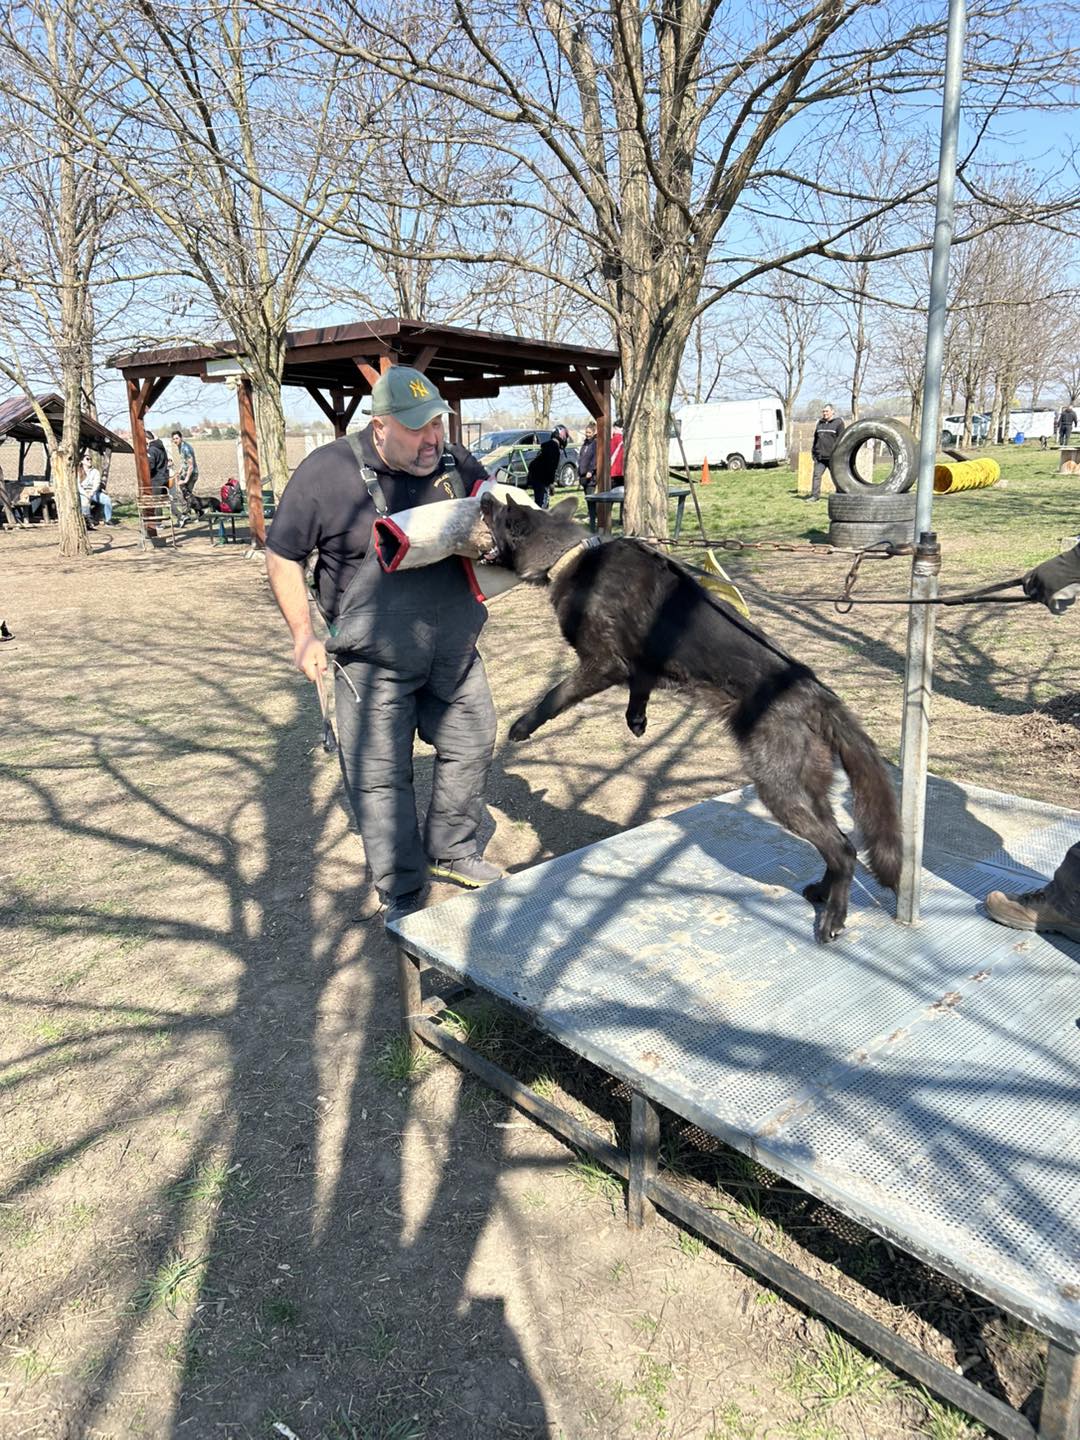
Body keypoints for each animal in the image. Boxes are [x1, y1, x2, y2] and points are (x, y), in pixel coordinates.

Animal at [480, 493, 901, 942]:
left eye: (499, 512)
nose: (483, 496)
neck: (571, 554)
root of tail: (817, 694)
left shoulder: (602, 664)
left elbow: (554, 696)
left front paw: (523, 726)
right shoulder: (640, 664)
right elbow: (640, 686)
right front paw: (636, 720)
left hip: (779, 789)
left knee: (842, 849)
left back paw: (833, 917)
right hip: (807, 789)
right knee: (843, 843)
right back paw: (822, 891)